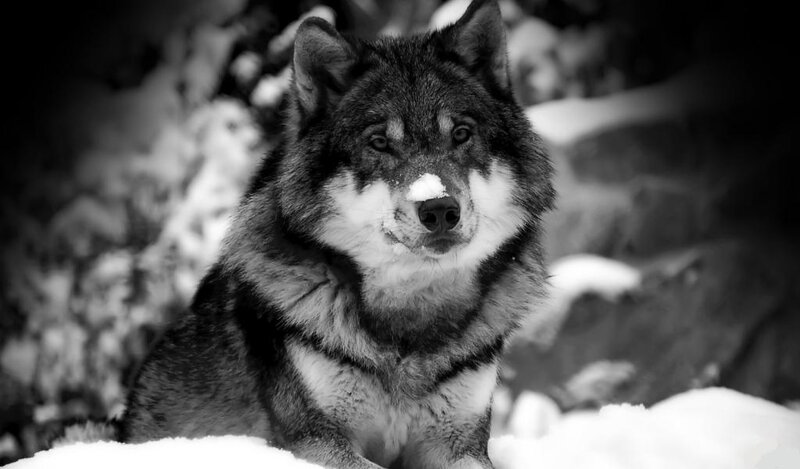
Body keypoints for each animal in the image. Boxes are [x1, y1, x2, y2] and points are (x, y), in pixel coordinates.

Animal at [119, 0, 554, 467]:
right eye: (379, 142)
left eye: (461, 134)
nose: (439, 208)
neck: (409, 320)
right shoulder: (314, 439)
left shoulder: (460, 443)